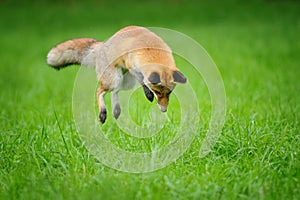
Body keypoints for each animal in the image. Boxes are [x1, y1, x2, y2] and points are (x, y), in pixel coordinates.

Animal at [47, 26, 186, 123]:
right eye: (157, 92)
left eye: (169, 93)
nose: (164, 110)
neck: (152, 49)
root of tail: (102, 44)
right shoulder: (132, 66)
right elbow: (143, 81)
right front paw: (148, 94)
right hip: (114, 78)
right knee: (99, 91)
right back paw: (103, 113)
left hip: (125, 80)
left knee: (115, 91)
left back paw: (116, 110)